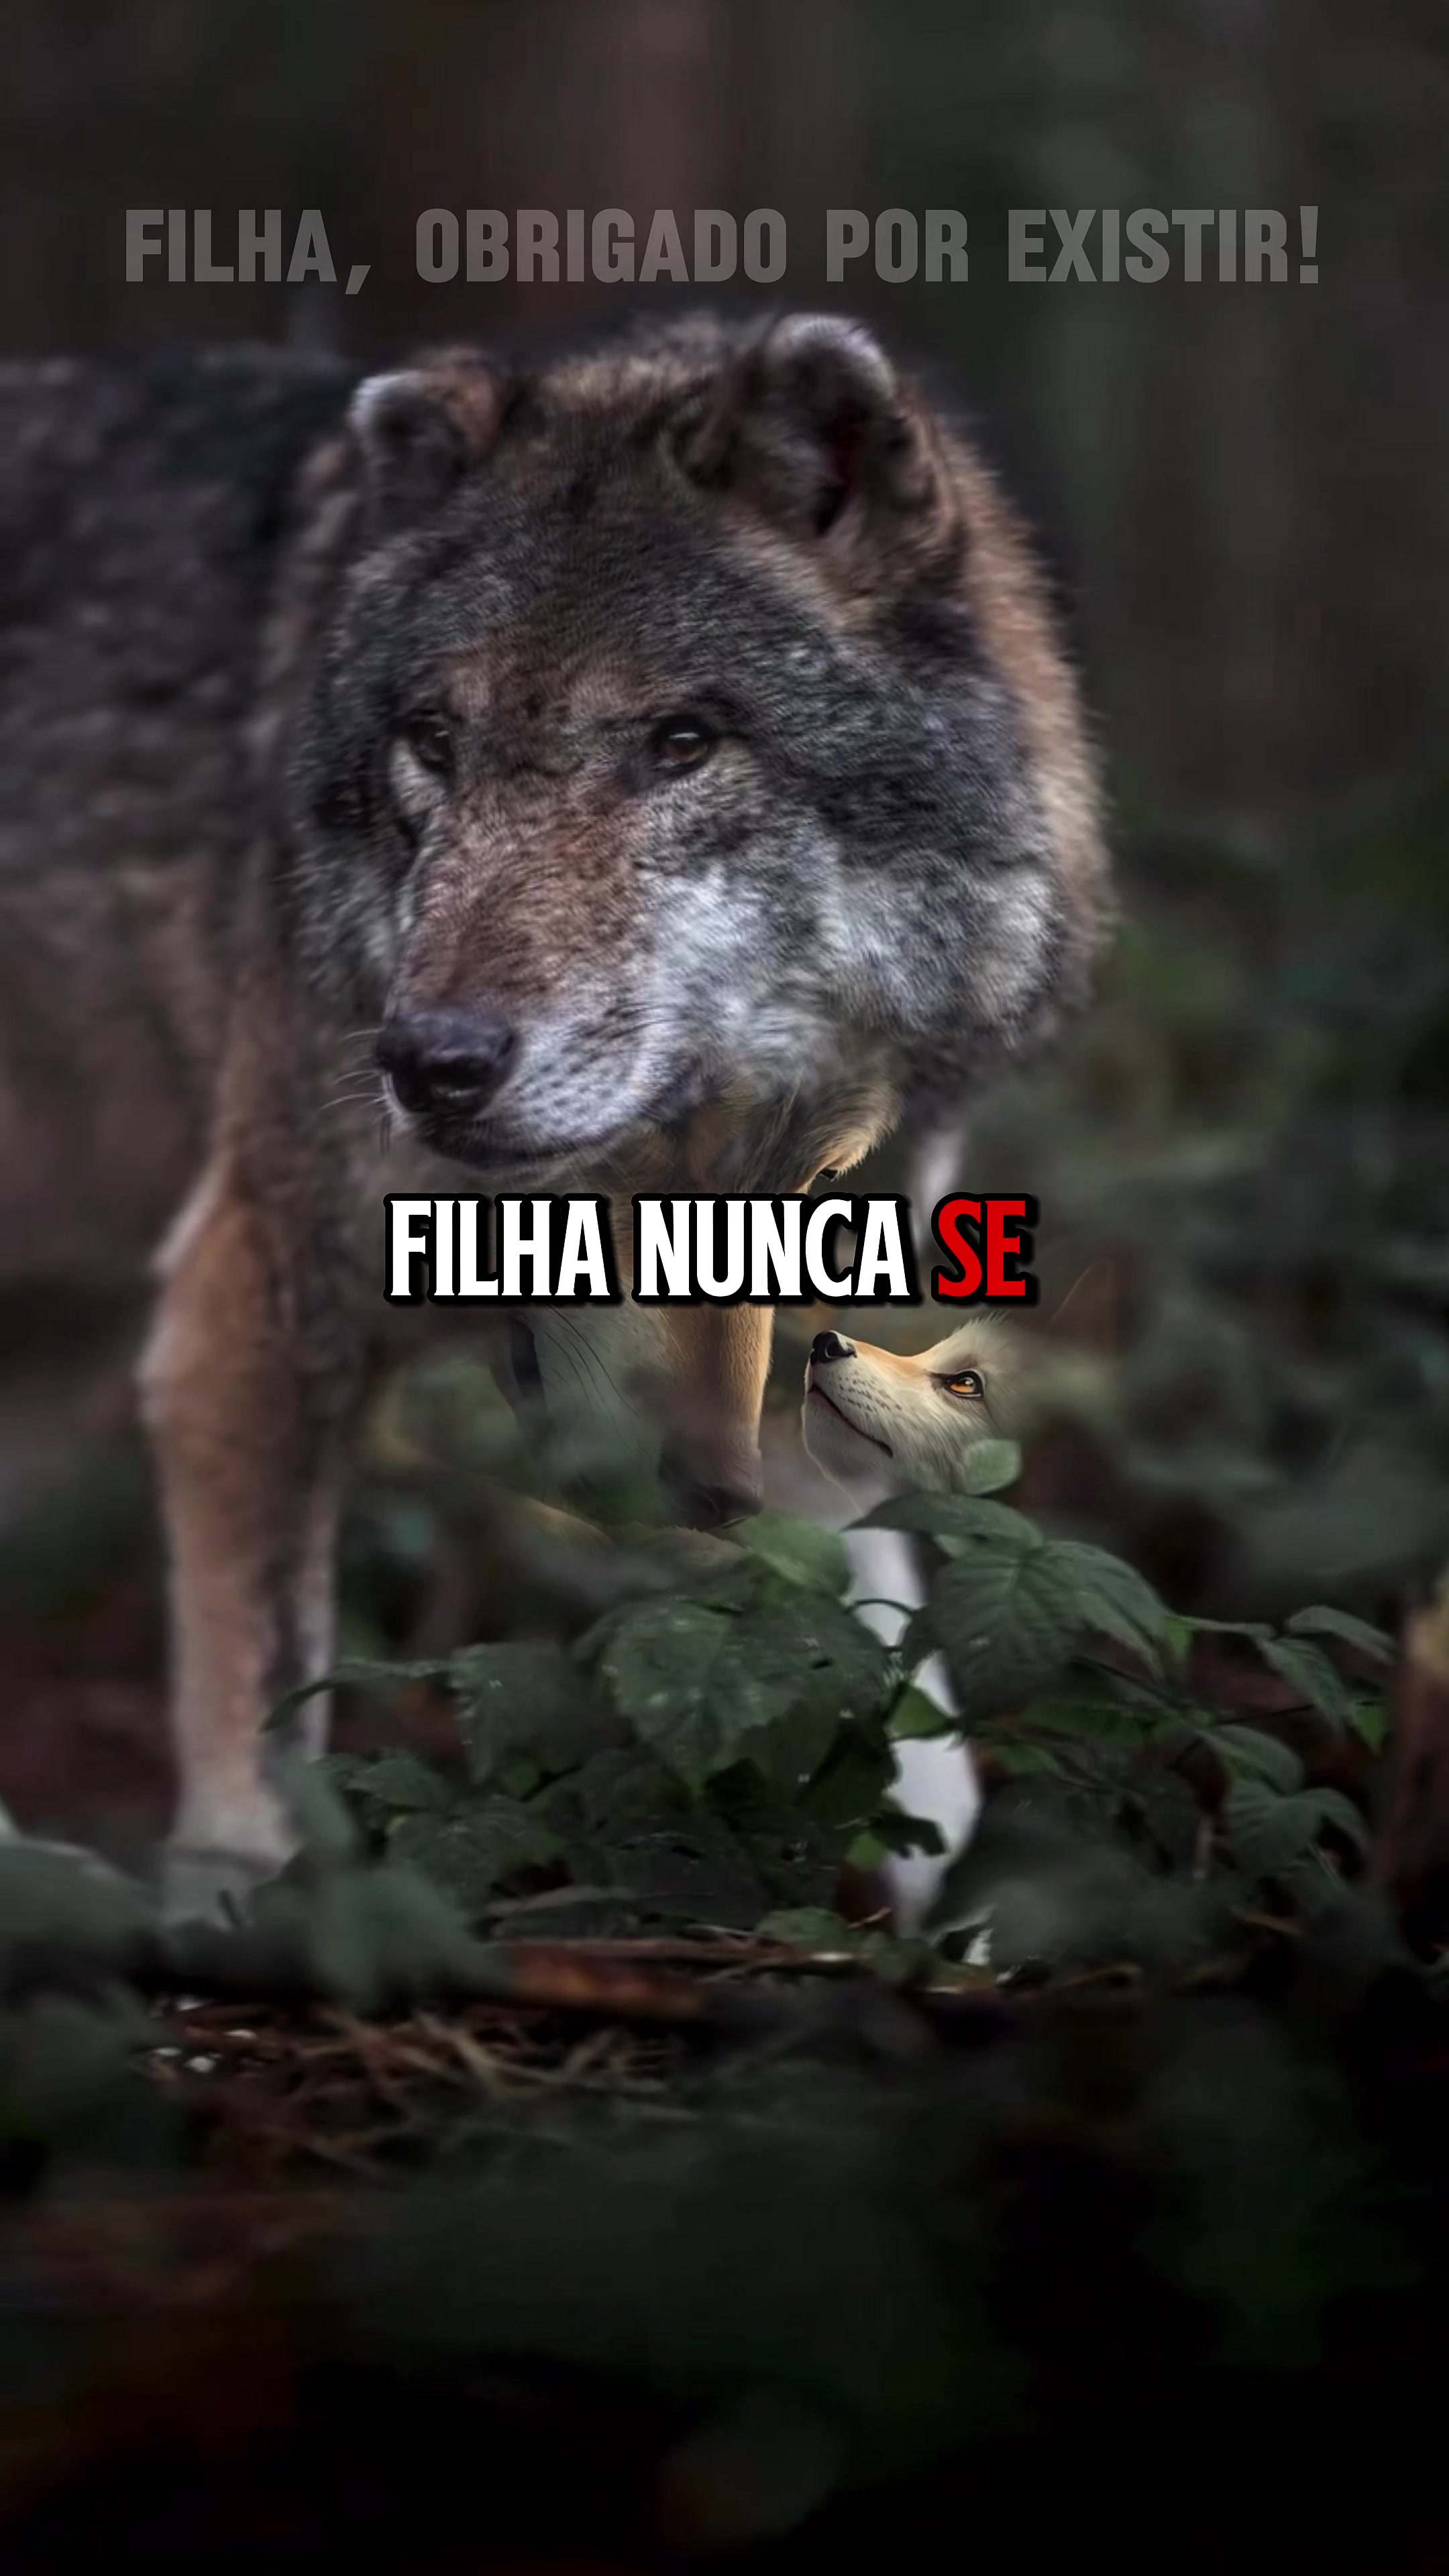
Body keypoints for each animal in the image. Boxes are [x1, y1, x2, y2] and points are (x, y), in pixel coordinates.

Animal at [0, 312, 1108, 1901]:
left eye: (682, 743)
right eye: (431, 742)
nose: (427, 1061)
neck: (679, 1162)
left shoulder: (790, 1351)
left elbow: (921, 1763)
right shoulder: (251, 1307)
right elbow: (262, 1768)